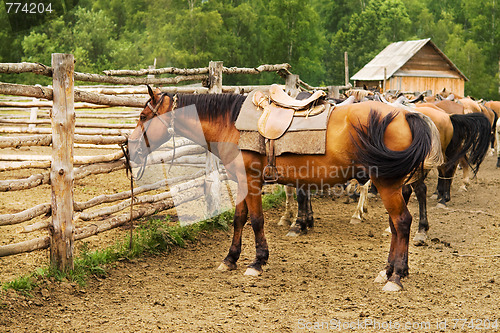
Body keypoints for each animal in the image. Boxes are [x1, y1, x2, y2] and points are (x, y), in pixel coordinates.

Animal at [128, 87, 438, 290]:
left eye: (143, 116)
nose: (130, 148)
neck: (233, 124)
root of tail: (406, 114)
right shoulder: (242, 181)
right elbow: (239, 219)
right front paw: (230, 259)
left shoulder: (252, 181)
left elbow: (256, 220)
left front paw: (257, 262)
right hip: (393, 186)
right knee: (397, 226)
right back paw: (389, 271)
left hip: (387, 185)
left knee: (402, 222)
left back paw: (395, 277)